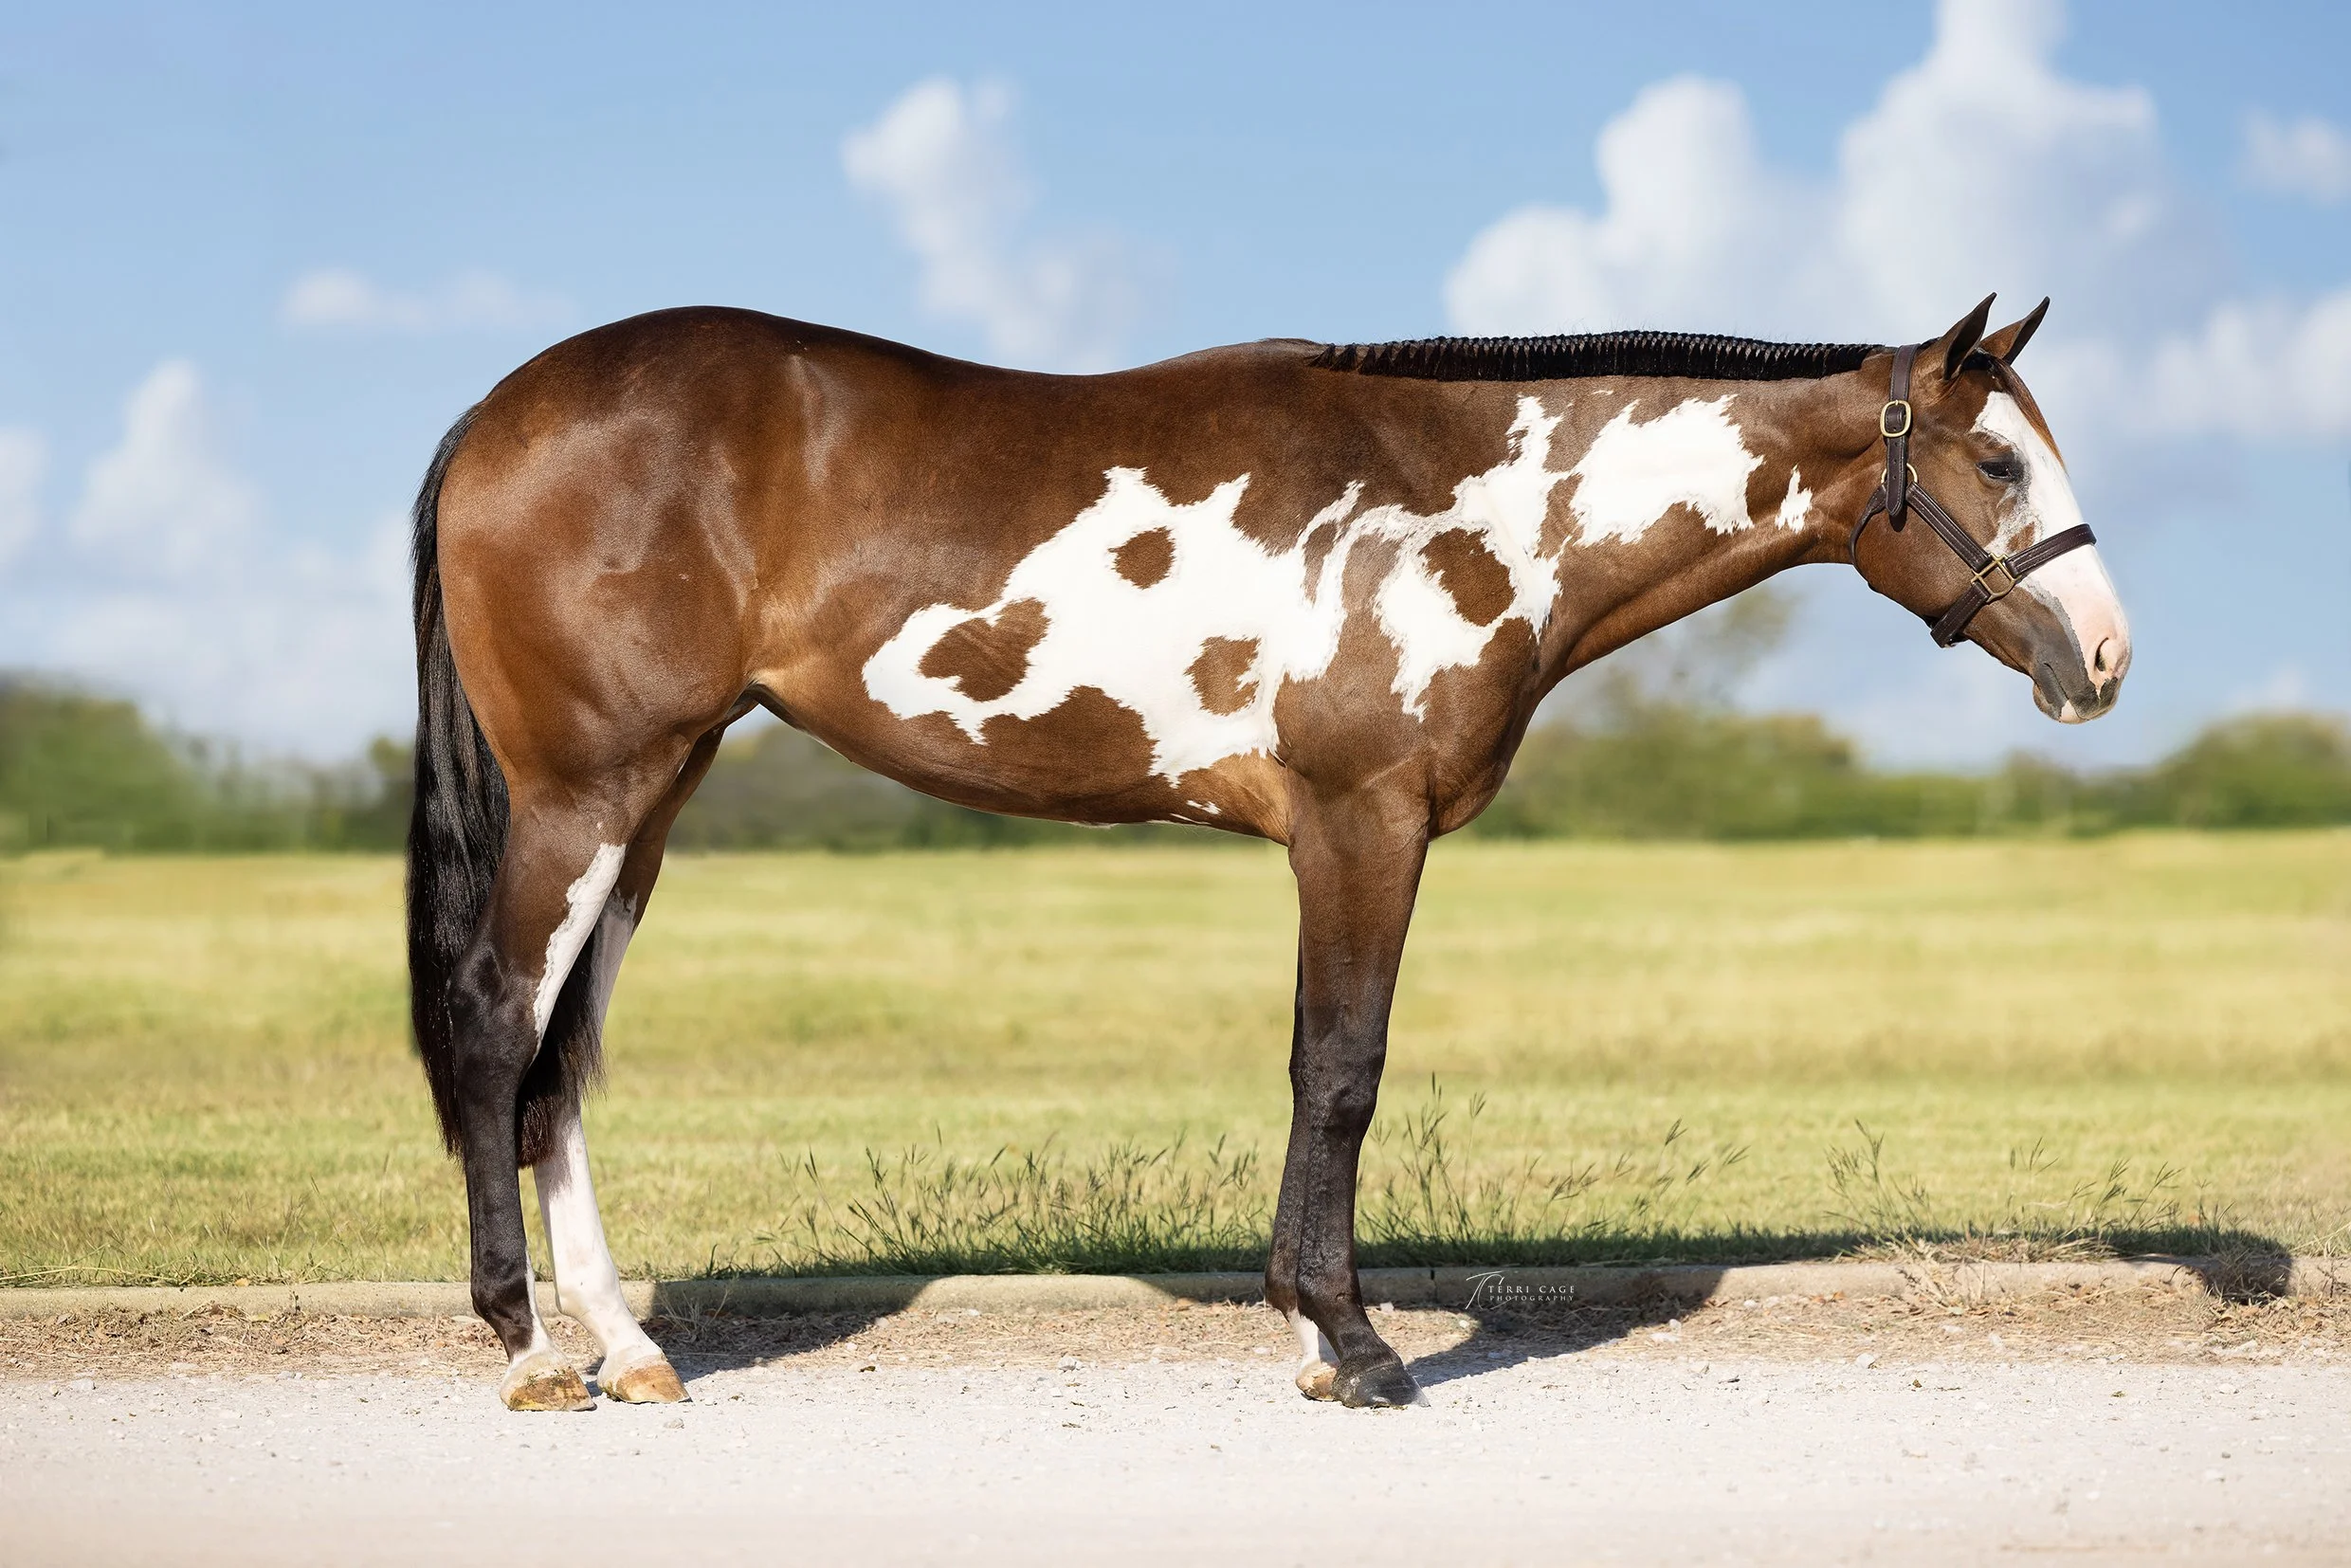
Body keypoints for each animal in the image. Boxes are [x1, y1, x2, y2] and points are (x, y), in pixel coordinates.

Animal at [405, 292, 2129, 1412]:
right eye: (1997, 464)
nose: (2105, 657)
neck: (1460, 497)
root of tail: (498, 411)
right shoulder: (1364, 821)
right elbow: (1346, 1068)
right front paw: (1355, 1349)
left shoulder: (1339, 834)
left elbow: (1316, 1064)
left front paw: (1312, 1334)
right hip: (586, 793)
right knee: (497, 1026)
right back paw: (535, 1350)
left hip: (652, 800)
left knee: (561, 1061)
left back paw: (626, 1346)